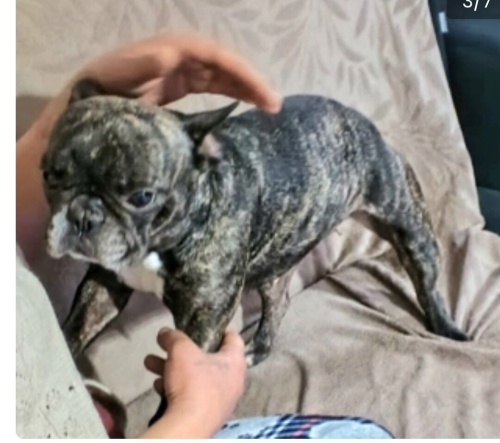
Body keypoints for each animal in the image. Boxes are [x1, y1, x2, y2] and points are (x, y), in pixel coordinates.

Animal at [42, 79, 469, 369]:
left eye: (142, 196)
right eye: (48, 175)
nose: (83, 215)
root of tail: (360, 121)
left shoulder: (202, 323)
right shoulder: (103, 284)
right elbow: (77, 326)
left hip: (411, 229)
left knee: (427, 285)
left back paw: (447, 330)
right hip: (276, 263)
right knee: (277, 302)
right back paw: (258, 348)